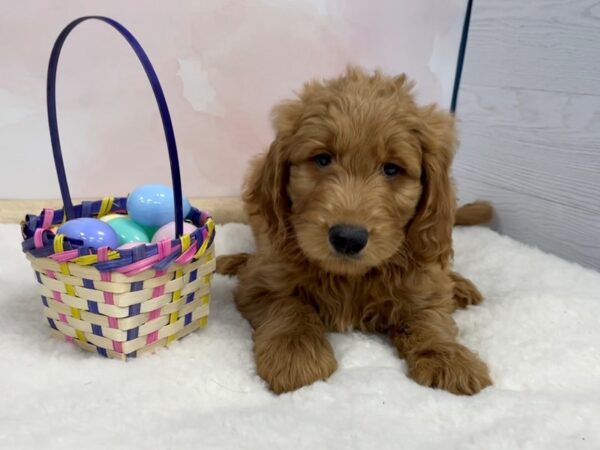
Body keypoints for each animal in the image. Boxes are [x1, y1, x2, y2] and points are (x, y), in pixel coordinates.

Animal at [218, 66, 490, 394]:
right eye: (323, 159)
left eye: (391, 169)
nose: (348, 238)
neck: (351, 277)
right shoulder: (262, 281)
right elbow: (288, 306)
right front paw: (295, 355)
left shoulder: (422, 285)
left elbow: (430, 318)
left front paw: (448, 358)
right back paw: (232, 261)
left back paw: (459, 285)